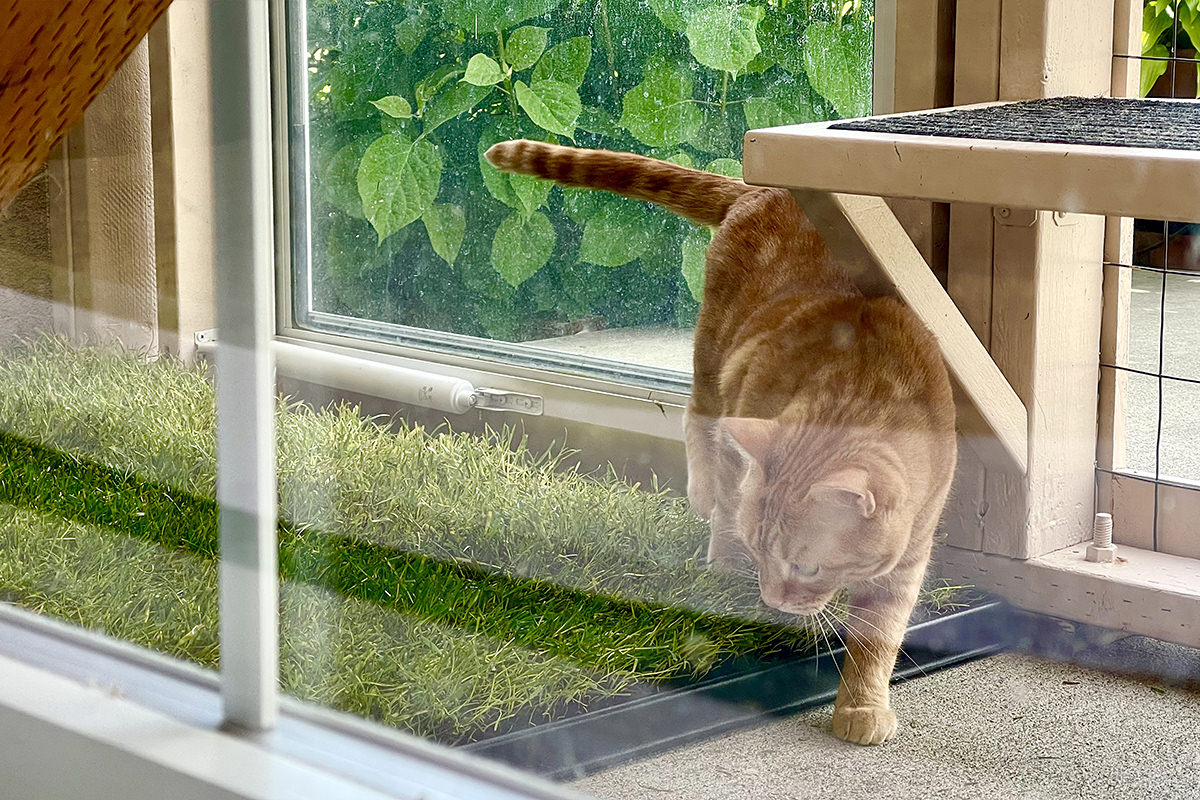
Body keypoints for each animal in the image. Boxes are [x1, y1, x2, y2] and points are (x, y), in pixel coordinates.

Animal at [484, 140, 955, 748]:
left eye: (807, 567)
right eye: (761, 553)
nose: (772, 598)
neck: (862, 389)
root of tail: (760, 188)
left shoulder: (911, 553)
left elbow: (879, 634)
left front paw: (862, 703)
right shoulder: (741, 415)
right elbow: (733, 501)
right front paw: (731, 557)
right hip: (712, 357)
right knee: (697, 421)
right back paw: (703, 495)